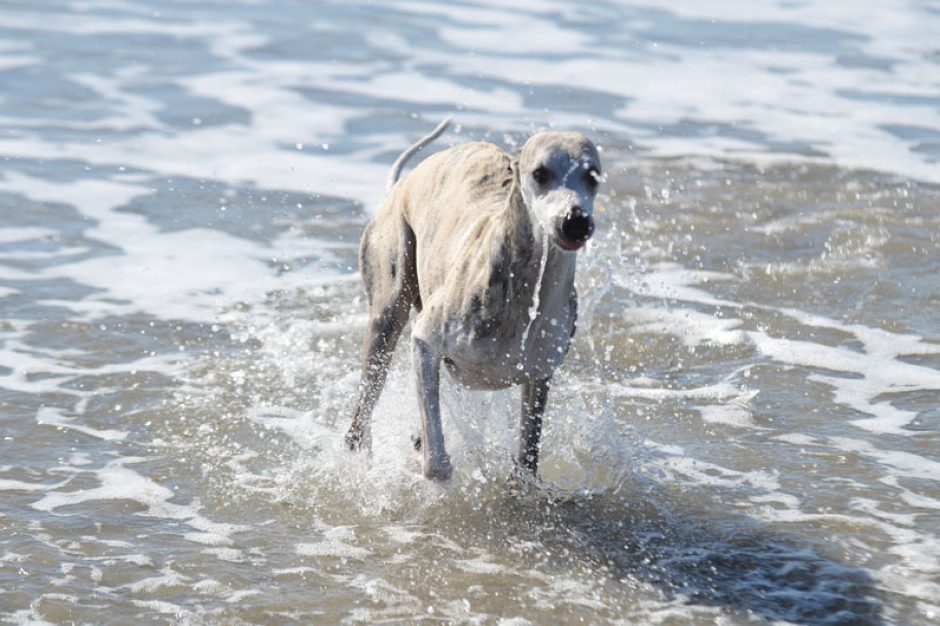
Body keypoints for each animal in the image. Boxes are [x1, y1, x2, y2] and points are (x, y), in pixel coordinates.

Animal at [346, 118, 604, 478]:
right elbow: (436, 466)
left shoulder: (539, 377)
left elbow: (526, 464)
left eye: (592, 176)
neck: (525, 292)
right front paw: (431, 463)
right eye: (540, 173)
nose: (575, 221)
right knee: (364, 410)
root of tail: (403, 183)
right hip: (387, 310)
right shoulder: (425, 339)